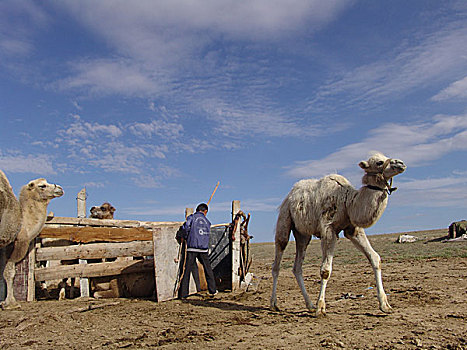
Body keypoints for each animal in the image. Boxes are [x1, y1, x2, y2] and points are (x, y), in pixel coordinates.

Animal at [270, 152, 406, 316]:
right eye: (379, 162)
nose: (401, 163)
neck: (349, 202)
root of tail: (288, 196)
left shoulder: (353, 229)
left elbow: (375, 258)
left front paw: (385, 305)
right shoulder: (328, 228)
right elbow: (325, 270)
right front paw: (321, 308)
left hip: (303, 234)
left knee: (297, 266)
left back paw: (309, 305)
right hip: (284, 218)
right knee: (278, 258)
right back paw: (274, 304)